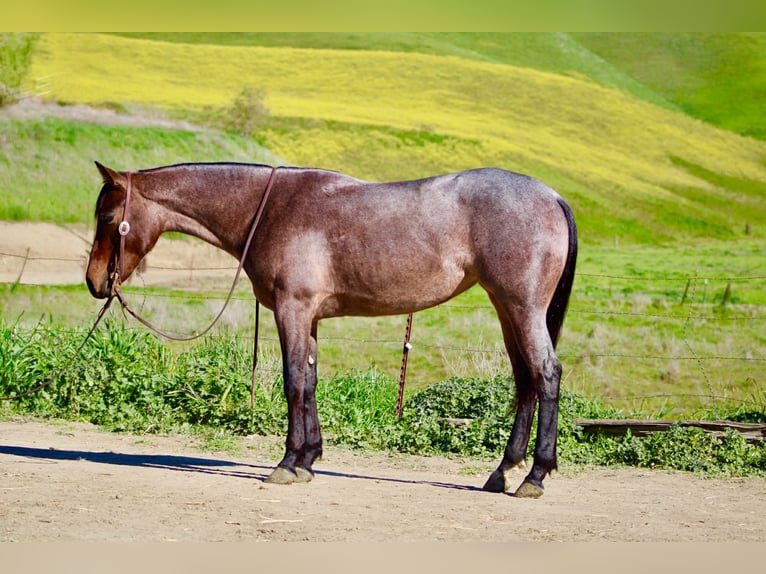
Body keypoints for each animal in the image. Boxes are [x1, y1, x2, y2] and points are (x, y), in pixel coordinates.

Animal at [86, 161, 577, 498]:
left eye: (107, 218)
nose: (94, 282)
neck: (270, 209)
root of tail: (552, 196)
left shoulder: (293, 310)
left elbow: (292, 382)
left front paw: (287, 462)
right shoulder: (311, 318)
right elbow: (311, 382)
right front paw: (309, 459)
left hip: (521, 307)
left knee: (545, 374)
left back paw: (534, 476)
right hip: (506, 308)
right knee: (525, 380)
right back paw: (503, 472)